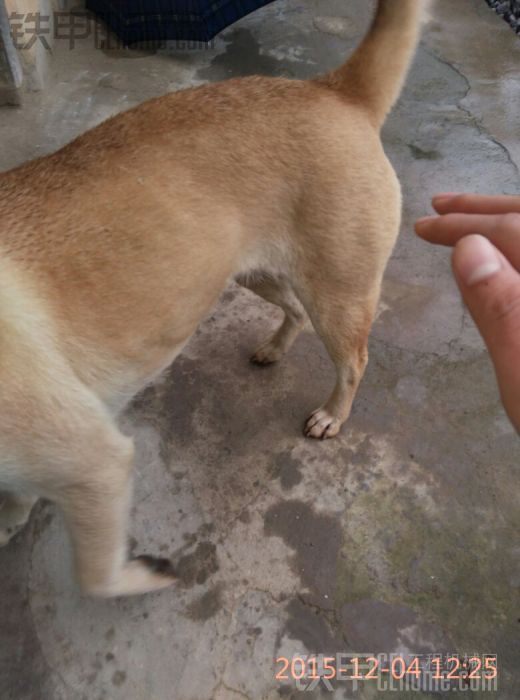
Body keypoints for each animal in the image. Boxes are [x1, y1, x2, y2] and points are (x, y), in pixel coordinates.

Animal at [0, 1, 426, 596]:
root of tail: (336, 90)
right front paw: (8, 522)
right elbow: (16, 495)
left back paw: (332, 416)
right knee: (293, 310)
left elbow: (96, 576)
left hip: (340, 295)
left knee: (353, 361)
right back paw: (274, 348)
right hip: (254, 272)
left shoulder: (94, 463)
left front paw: (145, 574)